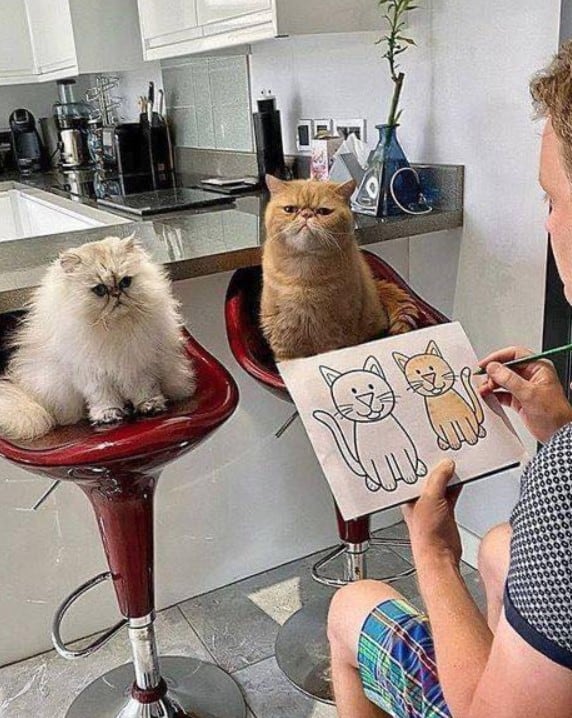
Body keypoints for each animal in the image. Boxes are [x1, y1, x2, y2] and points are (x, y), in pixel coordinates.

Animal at [0, 233, 197, 442]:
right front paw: (107, 415)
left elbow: (144, 390)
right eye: (100, 289)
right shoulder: (92, 373)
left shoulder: (138, 365)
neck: (113, 329)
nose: (116, 294)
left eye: (125, 282)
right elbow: (103, 398)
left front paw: (149, 406)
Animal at [262, 177, 418, 362]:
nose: (306, 214)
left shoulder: (332, 336)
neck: (305, 275)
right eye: (290, 209)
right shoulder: (284, 341)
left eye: (323, 211)